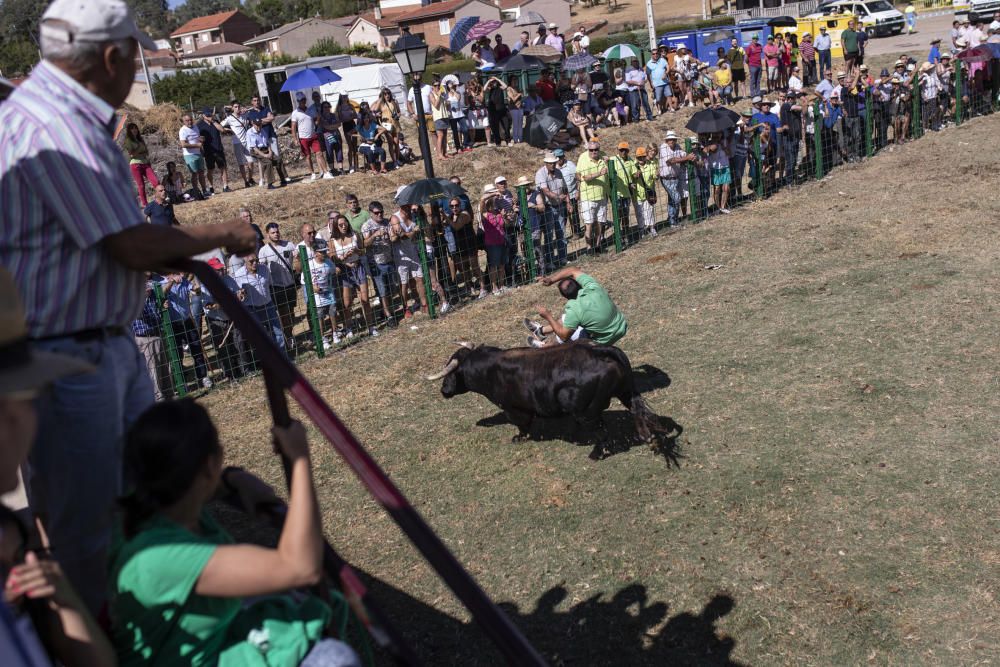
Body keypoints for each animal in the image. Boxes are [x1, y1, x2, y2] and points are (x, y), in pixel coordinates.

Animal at [426, 342, 684, 446]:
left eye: (452, 372)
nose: (443, 390)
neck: (490, 366)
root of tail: (598, 350)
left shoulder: (513, 409)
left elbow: (522, 424)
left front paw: (519, 438)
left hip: (586, 407)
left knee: (599, 422)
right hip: (626, 391)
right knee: (635, 409)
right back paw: (645, 435)